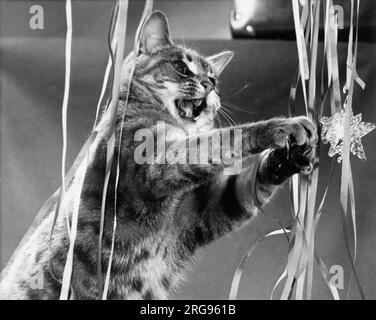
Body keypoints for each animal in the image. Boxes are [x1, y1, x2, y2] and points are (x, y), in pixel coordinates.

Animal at [0, 10, 318, 300]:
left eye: (214, 77)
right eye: (181, 67)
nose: (210, 85)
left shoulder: (201, 208)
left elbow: (247, 184)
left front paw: (286, 159)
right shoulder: (158, 160)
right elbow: (229, 137)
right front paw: (284, 126)